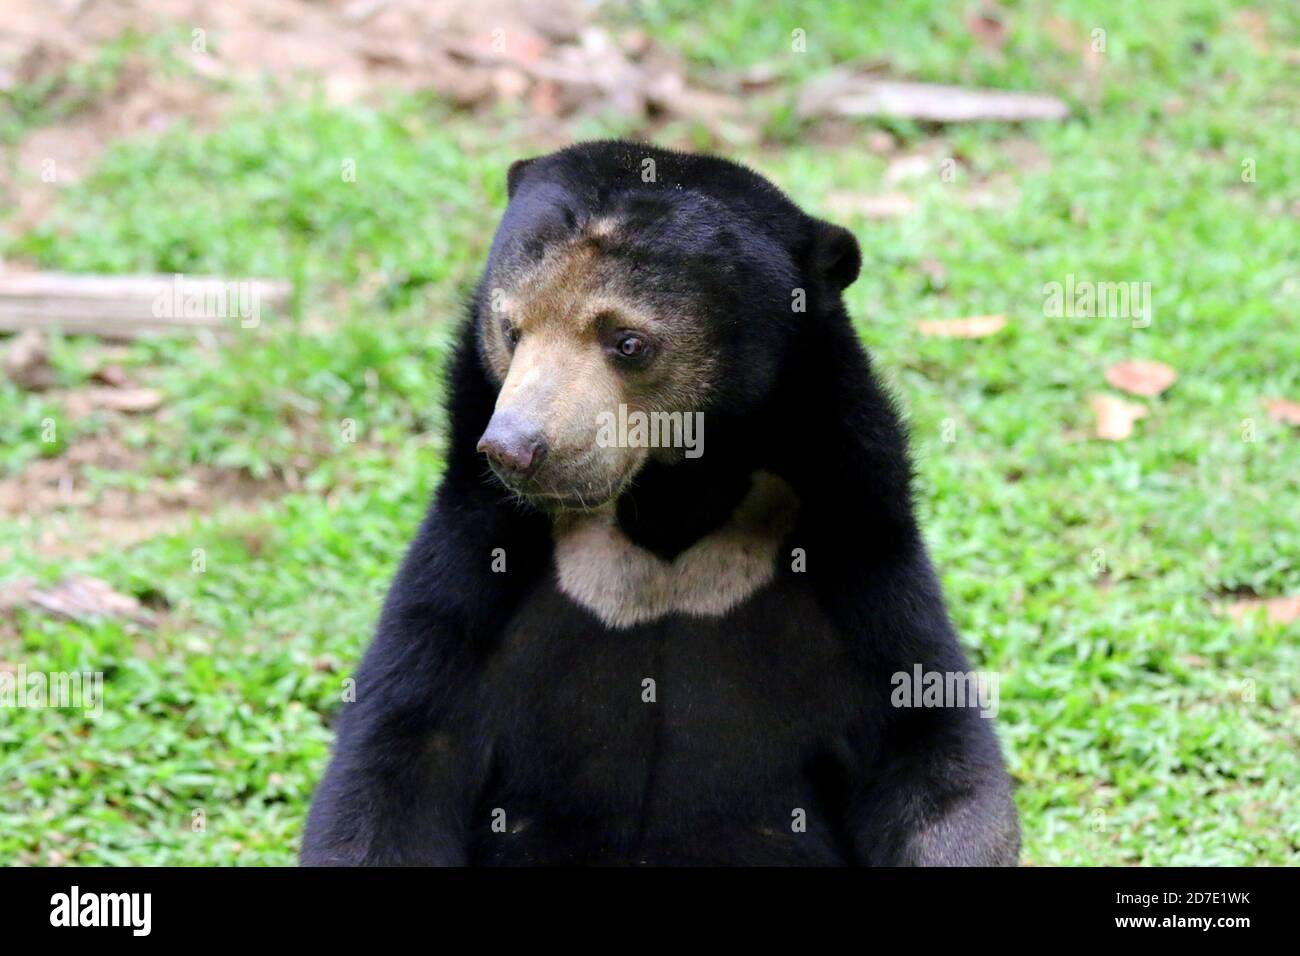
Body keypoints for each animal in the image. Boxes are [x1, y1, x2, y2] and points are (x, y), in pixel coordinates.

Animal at [299, 141, 1019, 868]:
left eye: (628, 342)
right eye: (511, 330)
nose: (515, 450)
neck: (669, 501)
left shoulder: (856, 536)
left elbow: (924, 740)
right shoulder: (476, 549)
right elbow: (402, 748)